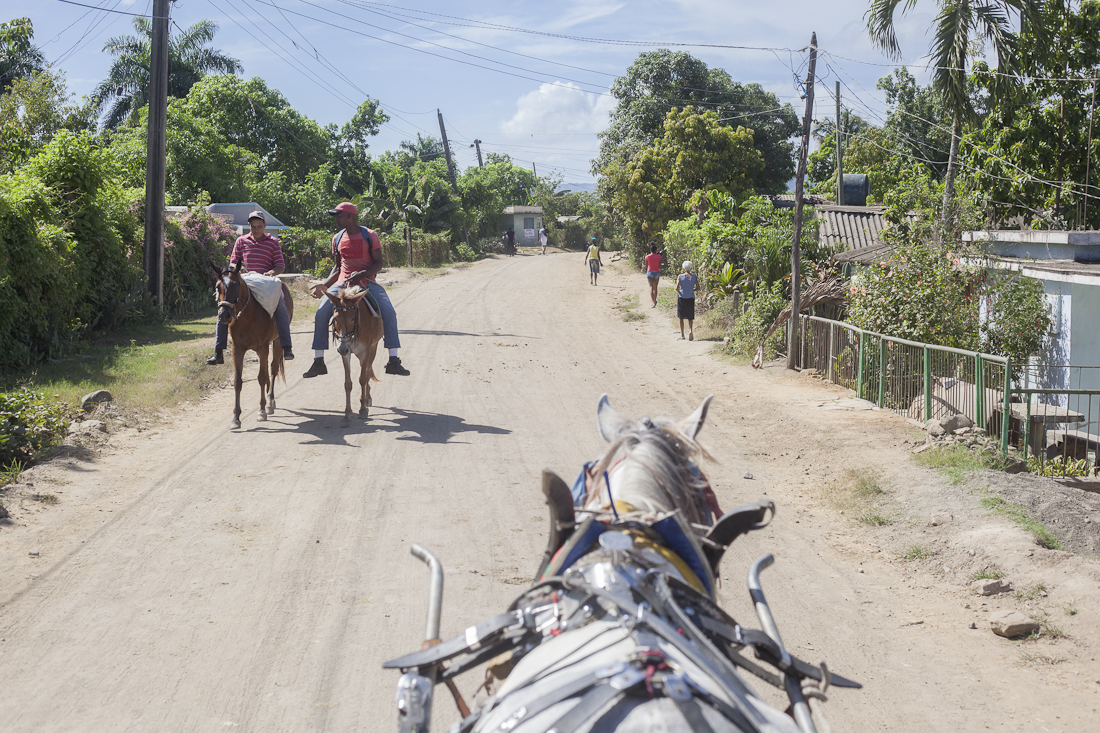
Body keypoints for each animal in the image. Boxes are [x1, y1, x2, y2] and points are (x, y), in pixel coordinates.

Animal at [211, 259, 292, 429]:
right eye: (217, 286)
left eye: (235, 285)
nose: (224, 315)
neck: (247, 316)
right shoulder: (237, 349)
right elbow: (237, 381)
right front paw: (235, 418)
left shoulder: (263, 347)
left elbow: (261, 377)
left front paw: (261, 410)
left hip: (277, 341)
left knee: (273, 369)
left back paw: (270, 402)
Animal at [323, 283, 385, 422]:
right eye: (335, 319)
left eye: (352, 318)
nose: (342, 348)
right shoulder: (346, 353)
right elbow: (348, 383)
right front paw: (347, 413)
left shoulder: (365, 351)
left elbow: (362, 379)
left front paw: (362, 409)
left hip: (373, 348)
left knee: (367, 371)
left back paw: (367, 399)